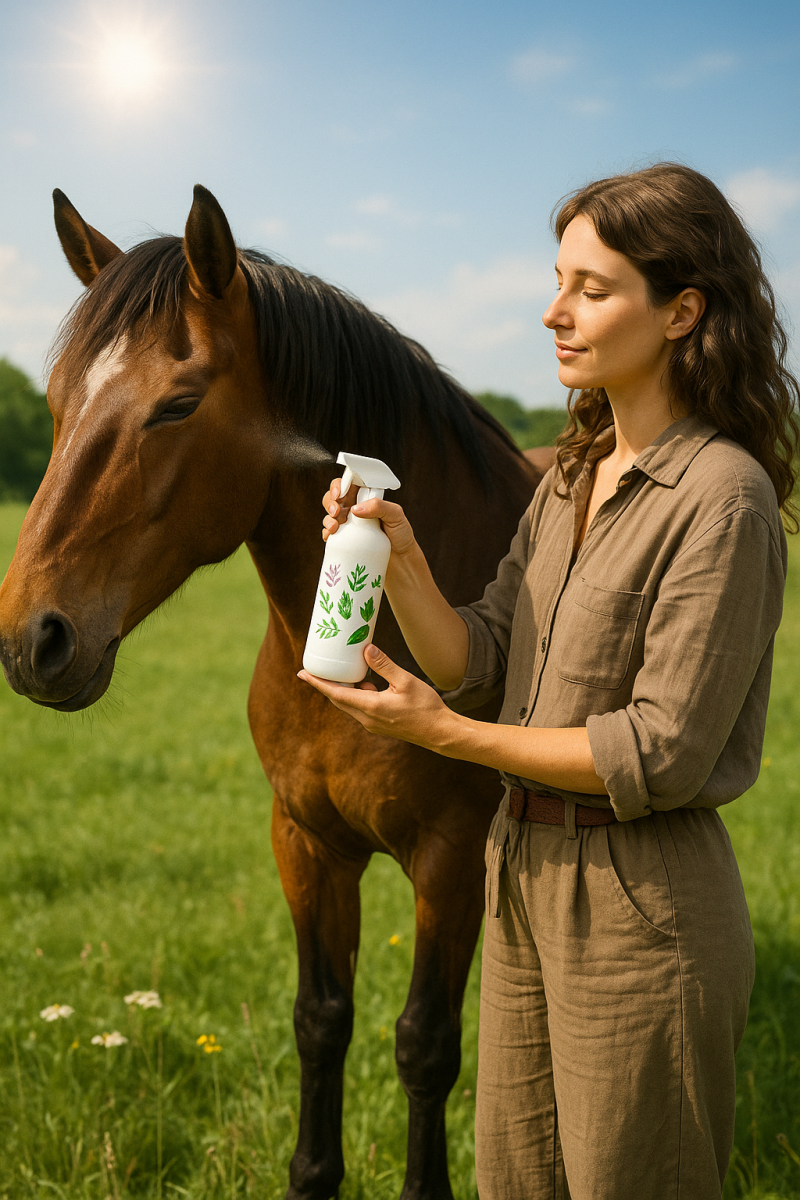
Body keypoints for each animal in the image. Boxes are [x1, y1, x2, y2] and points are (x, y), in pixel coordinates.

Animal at [0, 185, 543, 1200]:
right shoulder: (306, 841)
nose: (30, 640)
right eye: (53, 403)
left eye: (176, 406)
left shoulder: (451, 858)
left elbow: (424, 1044)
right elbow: (321, 1020)